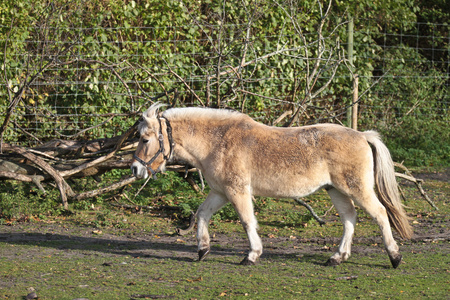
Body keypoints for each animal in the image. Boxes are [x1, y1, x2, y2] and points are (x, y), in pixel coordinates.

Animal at [129, 102, 412, 268]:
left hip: (356, 188)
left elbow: (247, 221)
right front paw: (203, 249)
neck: (218, 142)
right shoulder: (220, 192)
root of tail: (363, 136)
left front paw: (252, 255)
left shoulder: (237, 191)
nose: (135, 169)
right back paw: (337, 257)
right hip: (336, 190)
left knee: (380, 214)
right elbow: (202, 214)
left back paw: (395, 257)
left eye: (145, 139)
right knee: (349, 219)